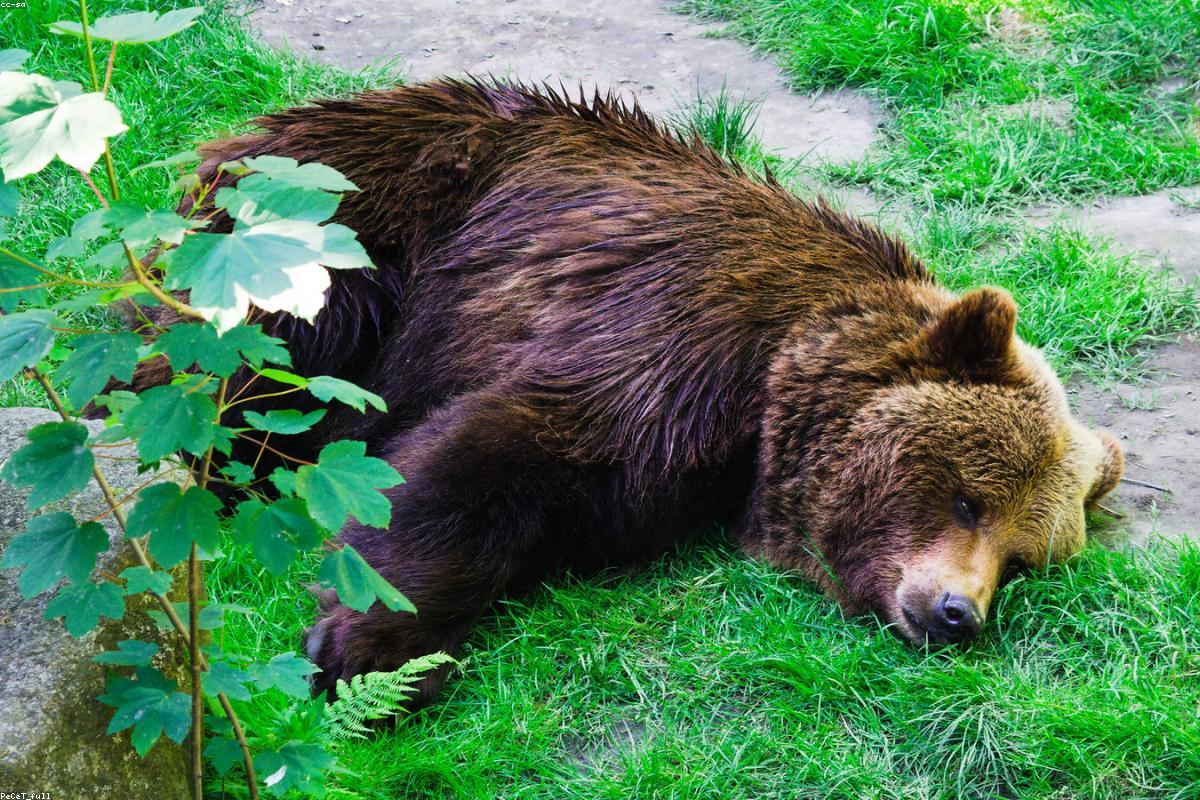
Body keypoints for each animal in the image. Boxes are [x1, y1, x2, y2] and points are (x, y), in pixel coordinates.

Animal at [142, 80, 1124, 704]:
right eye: (967, 498)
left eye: (1024, 557)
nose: (957, 614)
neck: (765, 404)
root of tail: (241, 132)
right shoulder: (671, 334)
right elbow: (487, 453)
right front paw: (366, 651)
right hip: (339, 221)